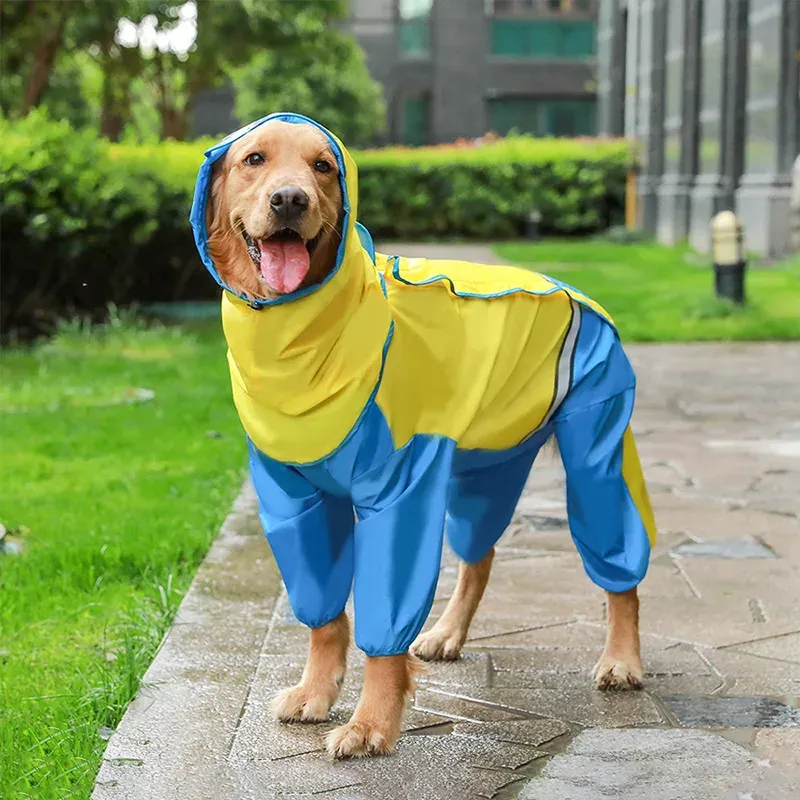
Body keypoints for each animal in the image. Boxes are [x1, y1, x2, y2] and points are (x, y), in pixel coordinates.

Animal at [191, 112, 660, 756]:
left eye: (324, 167)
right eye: (254, 159)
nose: (290, 200)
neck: (299, 338)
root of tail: (572, 288)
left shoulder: (400, 491)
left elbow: (383, 618)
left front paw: (371, 724)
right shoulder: (292, 496)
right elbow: (325, 614)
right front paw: (316, 693)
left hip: (596, 457)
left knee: (620, 569)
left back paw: (622, 659)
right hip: (486, 468)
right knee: (480, 557)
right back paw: (447, 634)